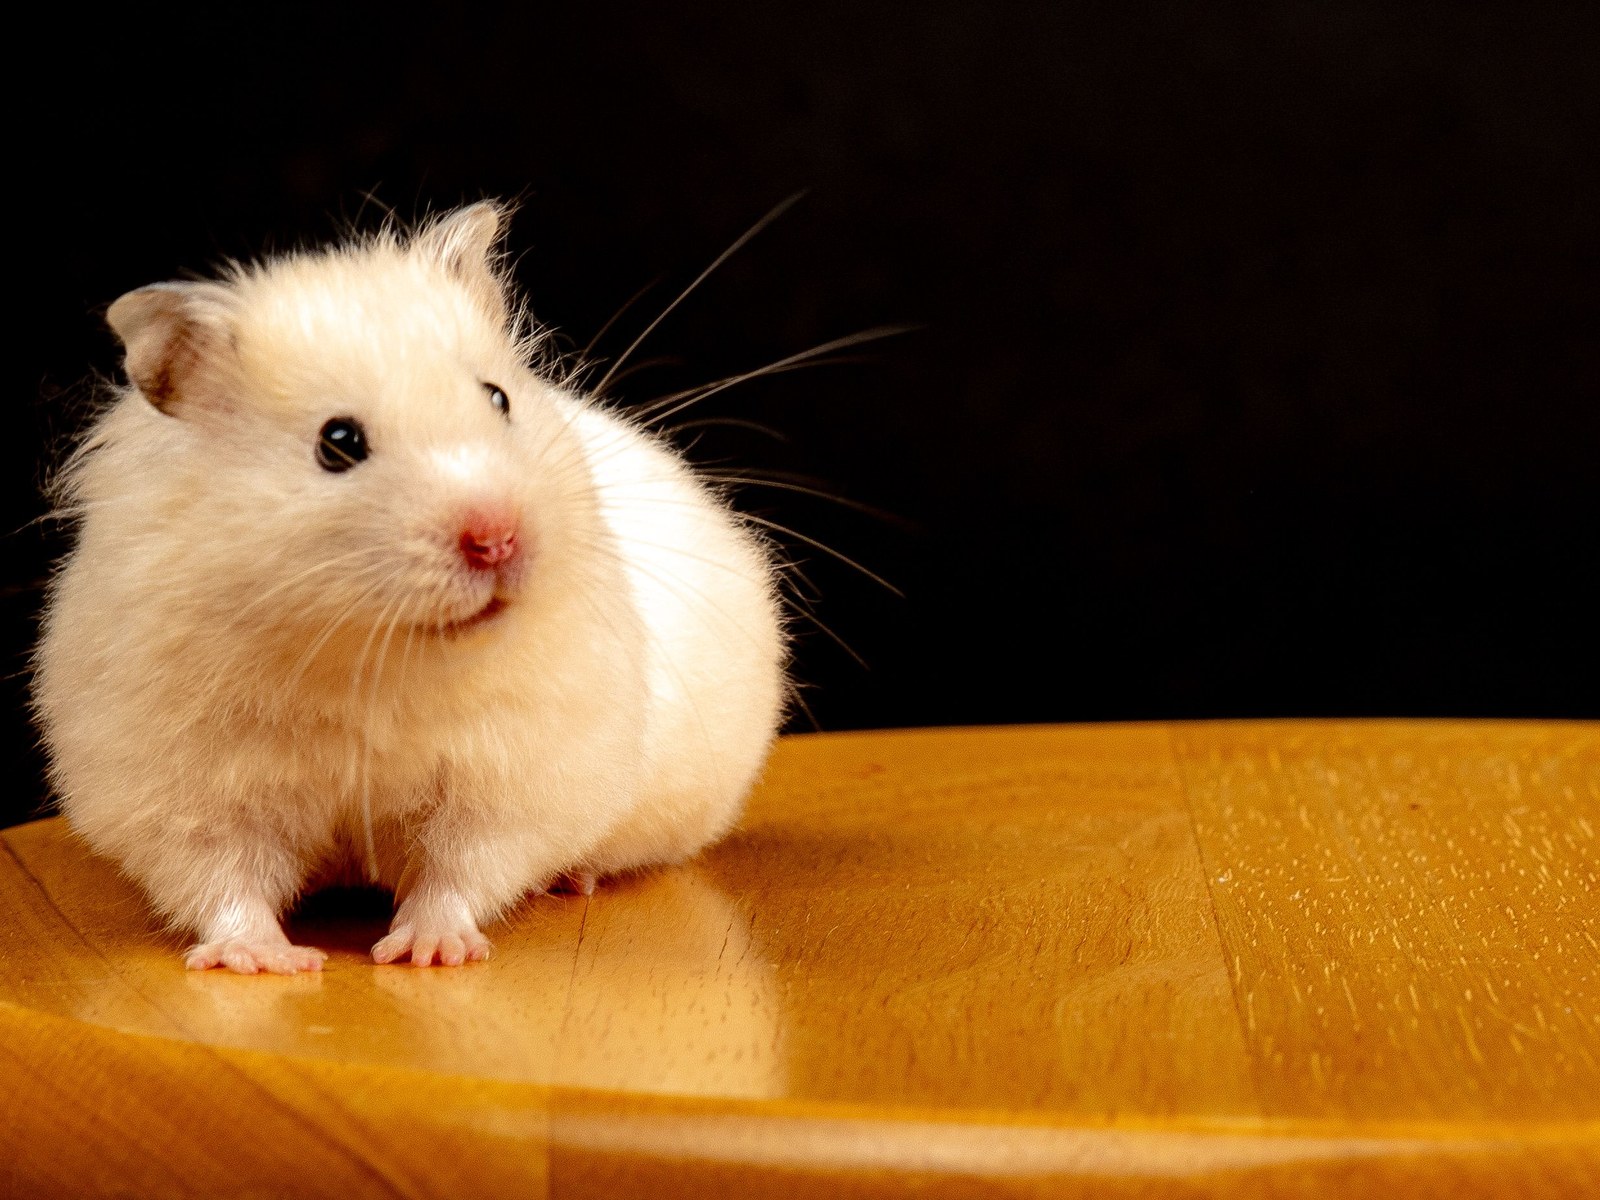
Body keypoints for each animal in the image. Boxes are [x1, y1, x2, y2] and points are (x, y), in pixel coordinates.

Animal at [32, 203, 787, 972]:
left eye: (498, 398)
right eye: (338, 443)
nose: (498, 538)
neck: (368, 654)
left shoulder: (512, 776)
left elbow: (460, 868)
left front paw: (427, 951)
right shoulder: (182, 790)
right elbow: (222, 879)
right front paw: (268, 961)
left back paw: (573, 879)